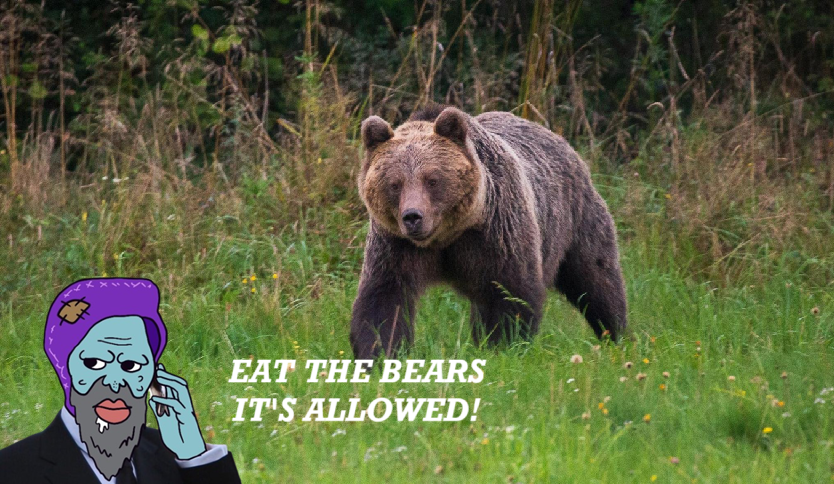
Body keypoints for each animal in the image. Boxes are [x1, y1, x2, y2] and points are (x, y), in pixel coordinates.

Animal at [350, 105, 627, 360]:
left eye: (432, 179)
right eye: (394, 184)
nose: (413, 217)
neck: (448, 235)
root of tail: (559, 139)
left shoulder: (495, 233)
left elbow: (509, 292)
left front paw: (502, 346)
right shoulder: (396, 244)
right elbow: (384, 298)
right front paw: (378, 354)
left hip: (575, 219)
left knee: (596, 278)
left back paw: (616, 334)